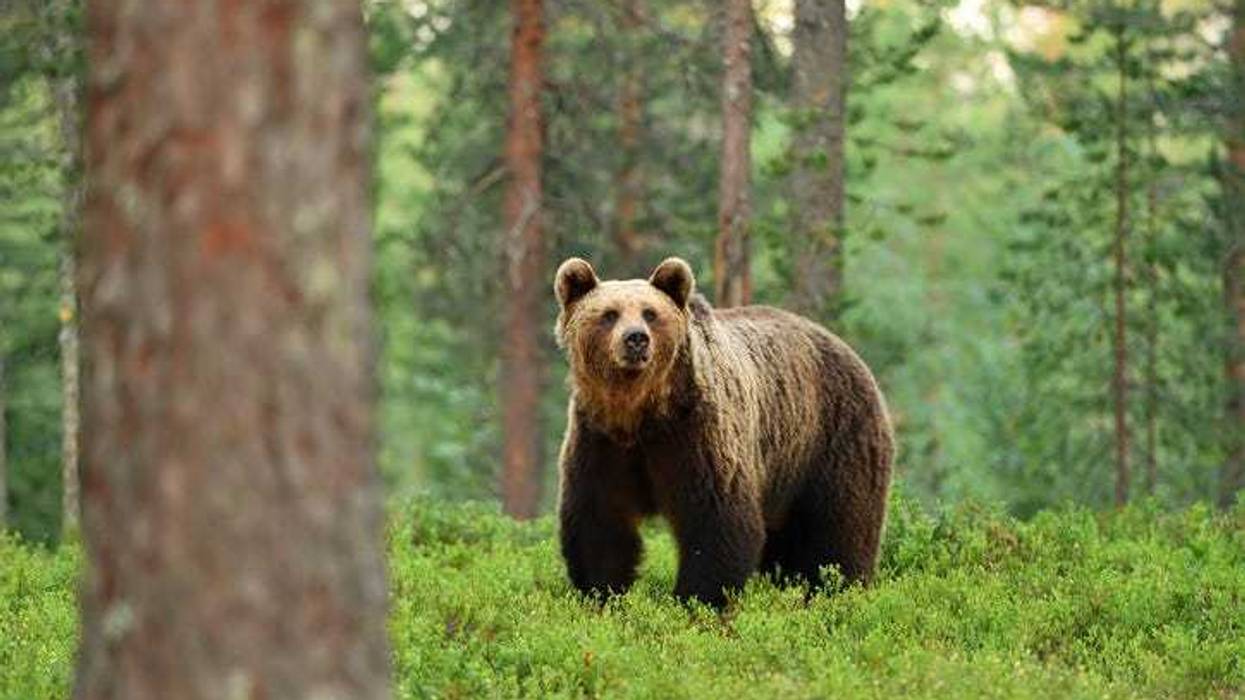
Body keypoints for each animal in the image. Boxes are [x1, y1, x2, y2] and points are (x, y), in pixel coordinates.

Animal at [554, 256, 895, 607]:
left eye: (650, 313)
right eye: (609, 314)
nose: (636, 338)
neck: (641, 413)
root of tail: (847, 349)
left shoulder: (695, 435)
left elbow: (716, 521)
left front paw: (696, 600)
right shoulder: (601, 442)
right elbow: (601, 523)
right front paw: (602, 593)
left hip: (832, 438)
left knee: (840, 528)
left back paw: (838, 589)